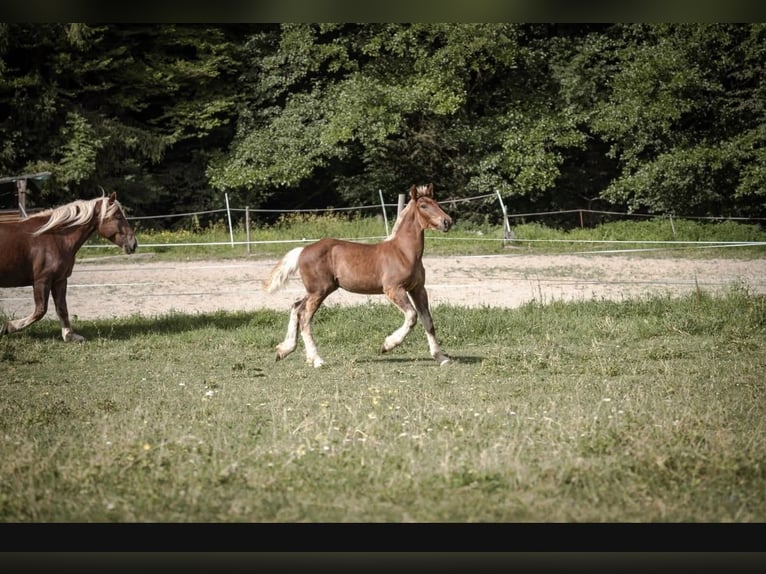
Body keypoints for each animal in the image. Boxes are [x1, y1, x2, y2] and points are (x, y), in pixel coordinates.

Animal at [0, 192, 137, 342]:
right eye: (118, 216)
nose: (133, 244)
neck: (55, 238)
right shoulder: (42, 281)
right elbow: (40, 311)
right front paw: (7, 327)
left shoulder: (60, 280)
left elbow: (62, 308)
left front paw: (69, 336)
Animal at [263, 183, 453, 367]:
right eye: (423, 206)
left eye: (437, 203)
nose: (447, 222)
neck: (403, 252)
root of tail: (303, 250)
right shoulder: (393, 289)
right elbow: (412, 316)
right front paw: (387, 345)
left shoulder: (418, 289)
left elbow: (428, 321)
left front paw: (441, 357)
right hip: (319, 291)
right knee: (304, 317)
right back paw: (317, 360)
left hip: (317, 290)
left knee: (296, 307)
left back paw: (284, 350)